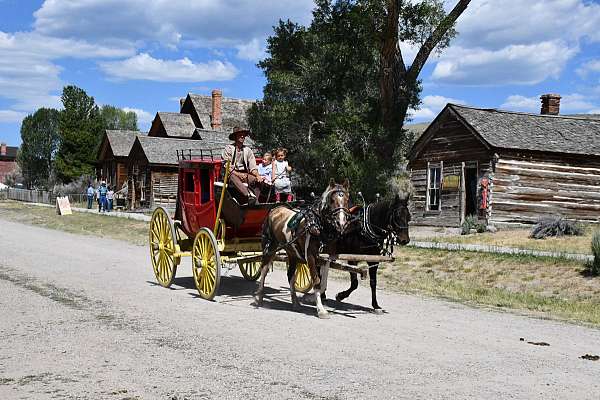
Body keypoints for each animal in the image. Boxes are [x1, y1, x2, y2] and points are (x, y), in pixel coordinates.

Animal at [253, 180, 352, 318]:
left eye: (347, 199)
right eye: (332, 200)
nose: (341, 223)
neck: (317, 224)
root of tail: (275, 209)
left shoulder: (325, 258)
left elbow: (321, 282)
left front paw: (311, 299)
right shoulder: (310, 256)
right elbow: (316, 280)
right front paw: (320, 309)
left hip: (292, 253)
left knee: (290, 276)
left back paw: (295, 302)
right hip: (270, 247)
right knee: (264, 269)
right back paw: (259, 297)